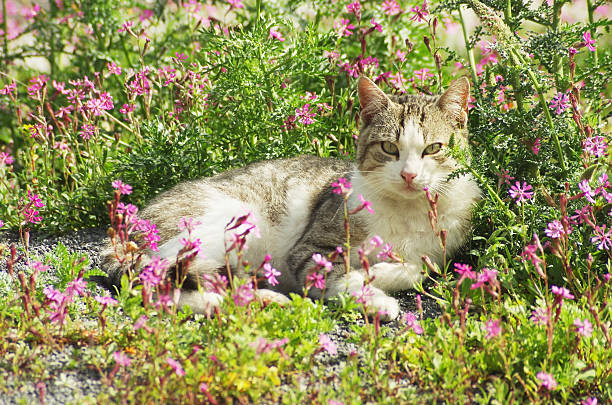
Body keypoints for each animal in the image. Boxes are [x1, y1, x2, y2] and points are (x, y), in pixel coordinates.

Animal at [100, 77, 482, 320]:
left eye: (433, 148)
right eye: (389, 148)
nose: (408, 175)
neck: (406, 212)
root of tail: (124, 227)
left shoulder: (442, 248)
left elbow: (419, 268)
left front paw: (386, 271)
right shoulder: (311, 249)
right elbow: (342, 276)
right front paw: (376, 297)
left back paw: (262, 299)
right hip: (223, 223)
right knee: (157, 284)